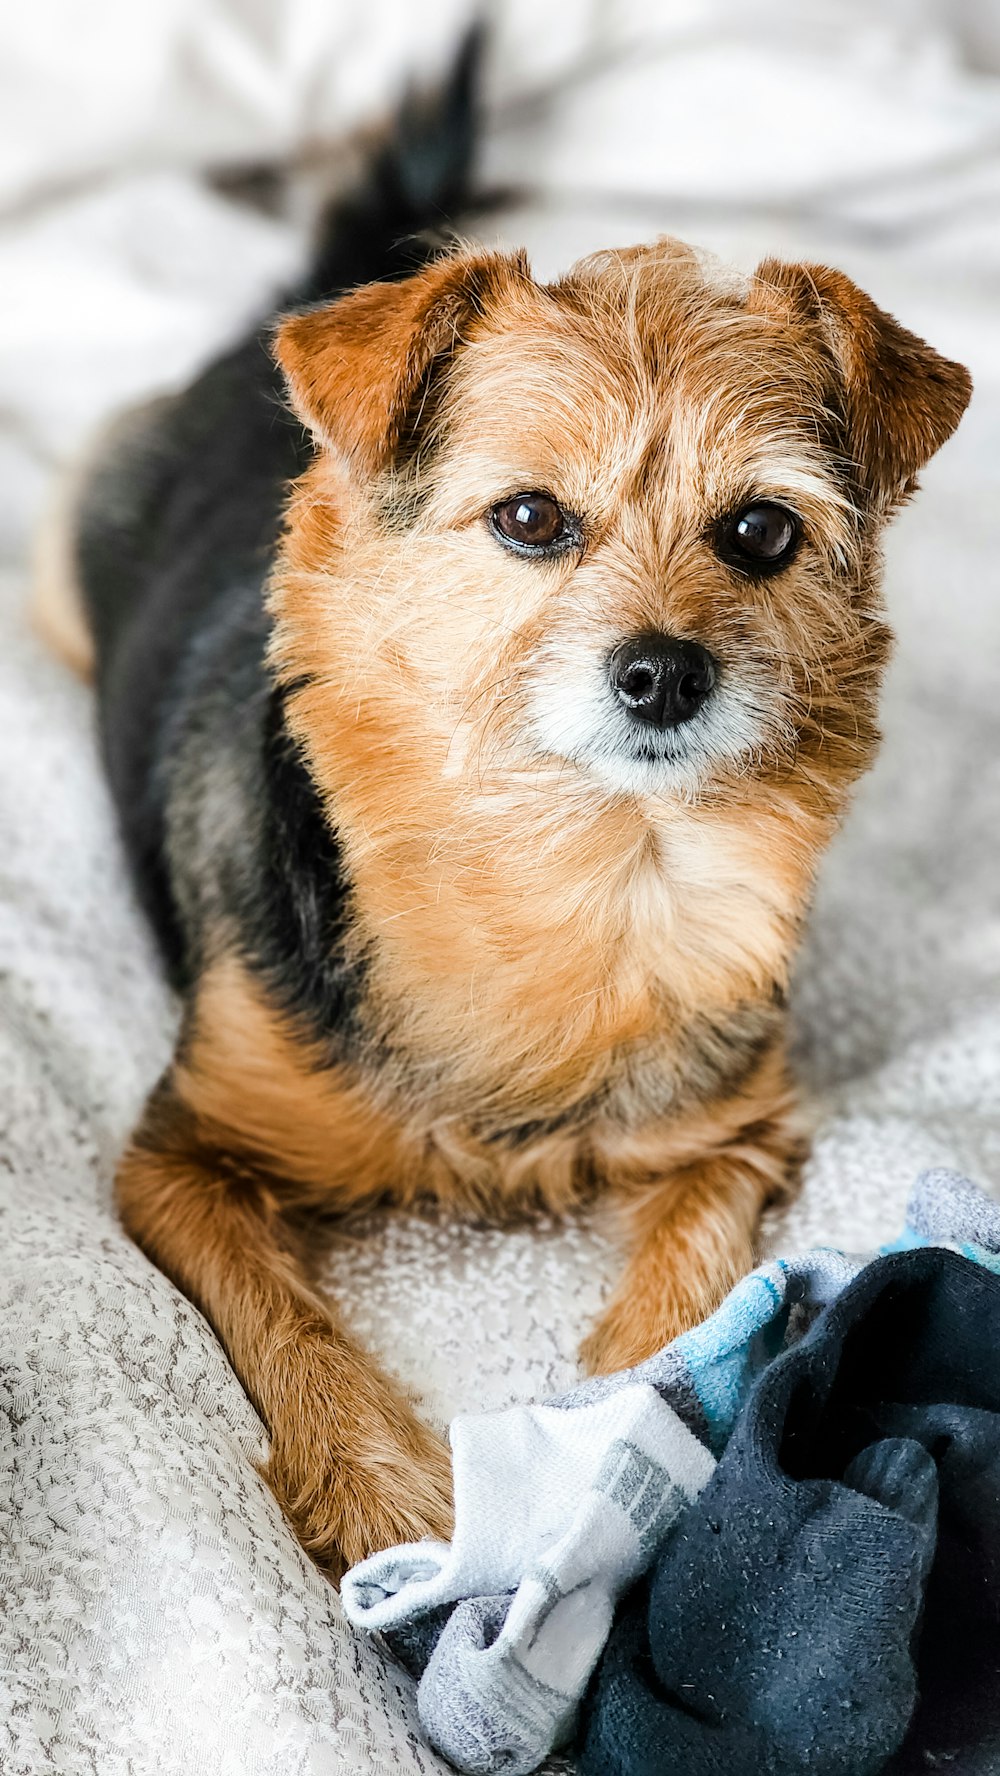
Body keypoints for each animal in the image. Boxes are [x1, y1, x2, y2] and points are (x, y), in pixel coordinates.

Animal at [41, 41, 973, 1577]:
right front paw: (379, 1488)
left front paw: (623, 1413)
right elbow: (278, 1311)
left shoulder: (739, 1132)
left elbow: (699, 1277)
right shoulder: (181, 1157)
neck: (569, 863)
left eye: (762, 530)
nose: (664, 672)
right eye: (531, 520)